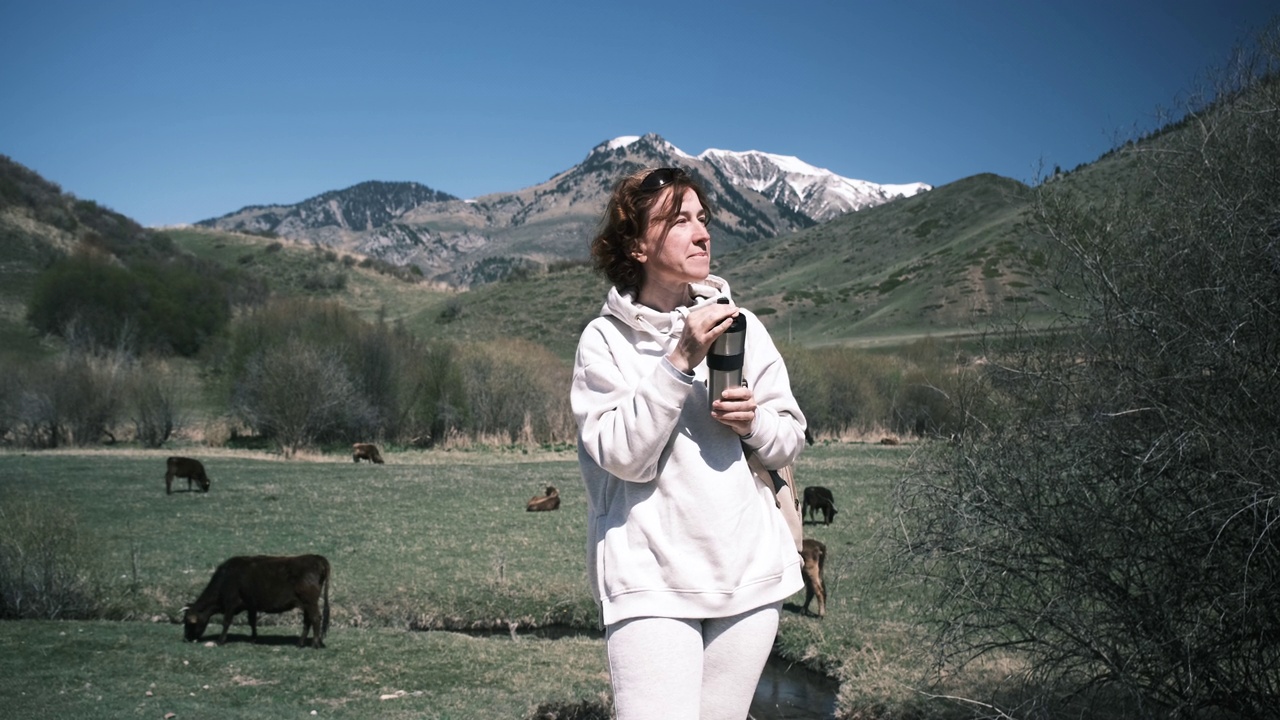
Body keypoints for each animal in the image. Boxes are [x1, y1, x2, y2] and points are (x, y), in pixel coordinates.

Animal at [186, 550, 335, 648]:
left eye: (188, 623)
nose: (186, 638)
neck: (225, 578)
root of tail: (316, 557)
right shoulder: (251, 605)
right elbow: (252, 622)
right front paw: (254, 639)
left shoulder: (230, 603)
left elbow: (226, 622)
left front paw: (220, 640)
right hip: (306, 604)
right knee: (308, 621)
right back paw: (300, 643)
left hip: (310, 601)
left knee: (315, 618)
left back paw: (315, 644)